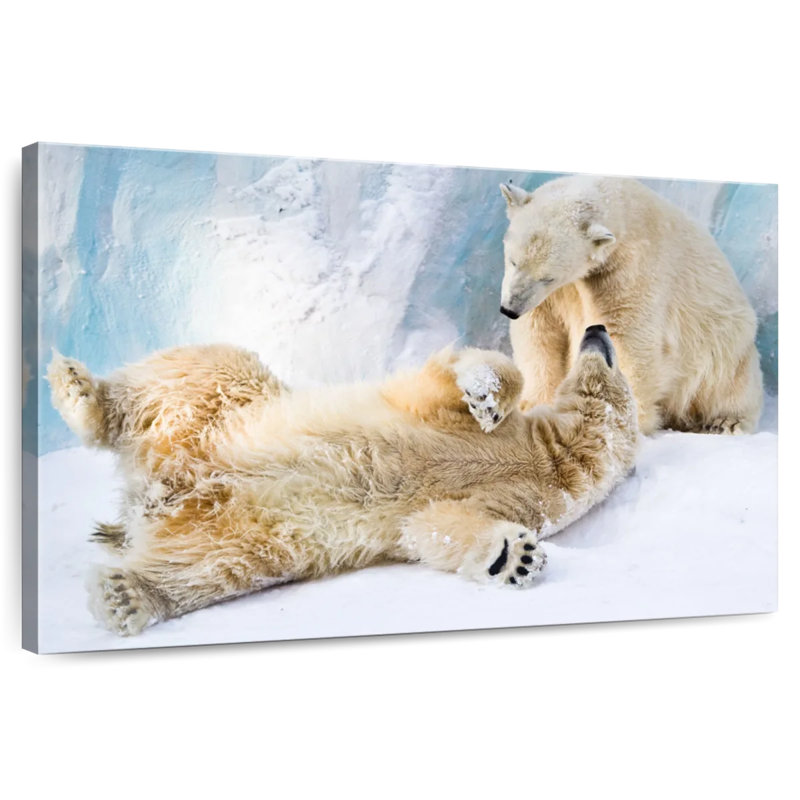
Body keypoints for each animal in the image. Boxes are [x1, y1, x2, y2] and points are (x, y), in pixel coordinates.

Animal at [47, 326, 638, 636]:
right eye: (611, 352)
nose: (596, 329)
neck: (553, 457)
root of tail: (156, 487)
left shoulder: (523, 498)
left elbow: (436, 525)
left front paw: (513, 557)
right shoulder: (447, 420)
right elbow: (453, 383)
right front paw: (486, 394)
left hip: (247, 530)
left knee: (213, 568)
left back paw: (128, 594)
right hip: (222, 407)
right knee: (204, 367)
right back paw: (82, 394)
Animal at [499, 175, 763, 435]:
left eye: (548, 277)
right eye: (513, 261)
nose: (509, 309)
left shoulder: (631, 268)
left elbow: (627, 336)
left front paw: (622, 417)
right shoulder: (555, 295)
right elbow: (540, 332)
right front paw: (532, 405)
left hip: (724, 347)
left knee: (730, 385)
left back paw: (725, 422)